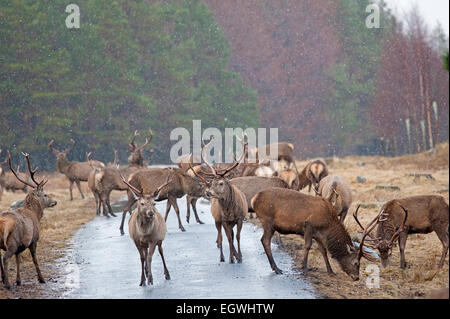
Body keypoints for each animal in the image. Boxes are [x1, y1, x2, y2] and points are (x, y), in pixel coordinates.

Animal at [0, 152, 57, 290]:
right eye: (45, 194)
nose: (55, 201)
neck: (35, 215)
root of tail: (3, 224)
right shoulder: (34, 239)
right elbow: (35, 259)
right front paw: (41, 279)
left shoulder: (20, 246)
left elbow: (18, 259)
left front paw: (18, 280)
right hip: (12, 241)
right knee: (5, 258)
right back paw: (7, 284)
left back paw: (3, 279)